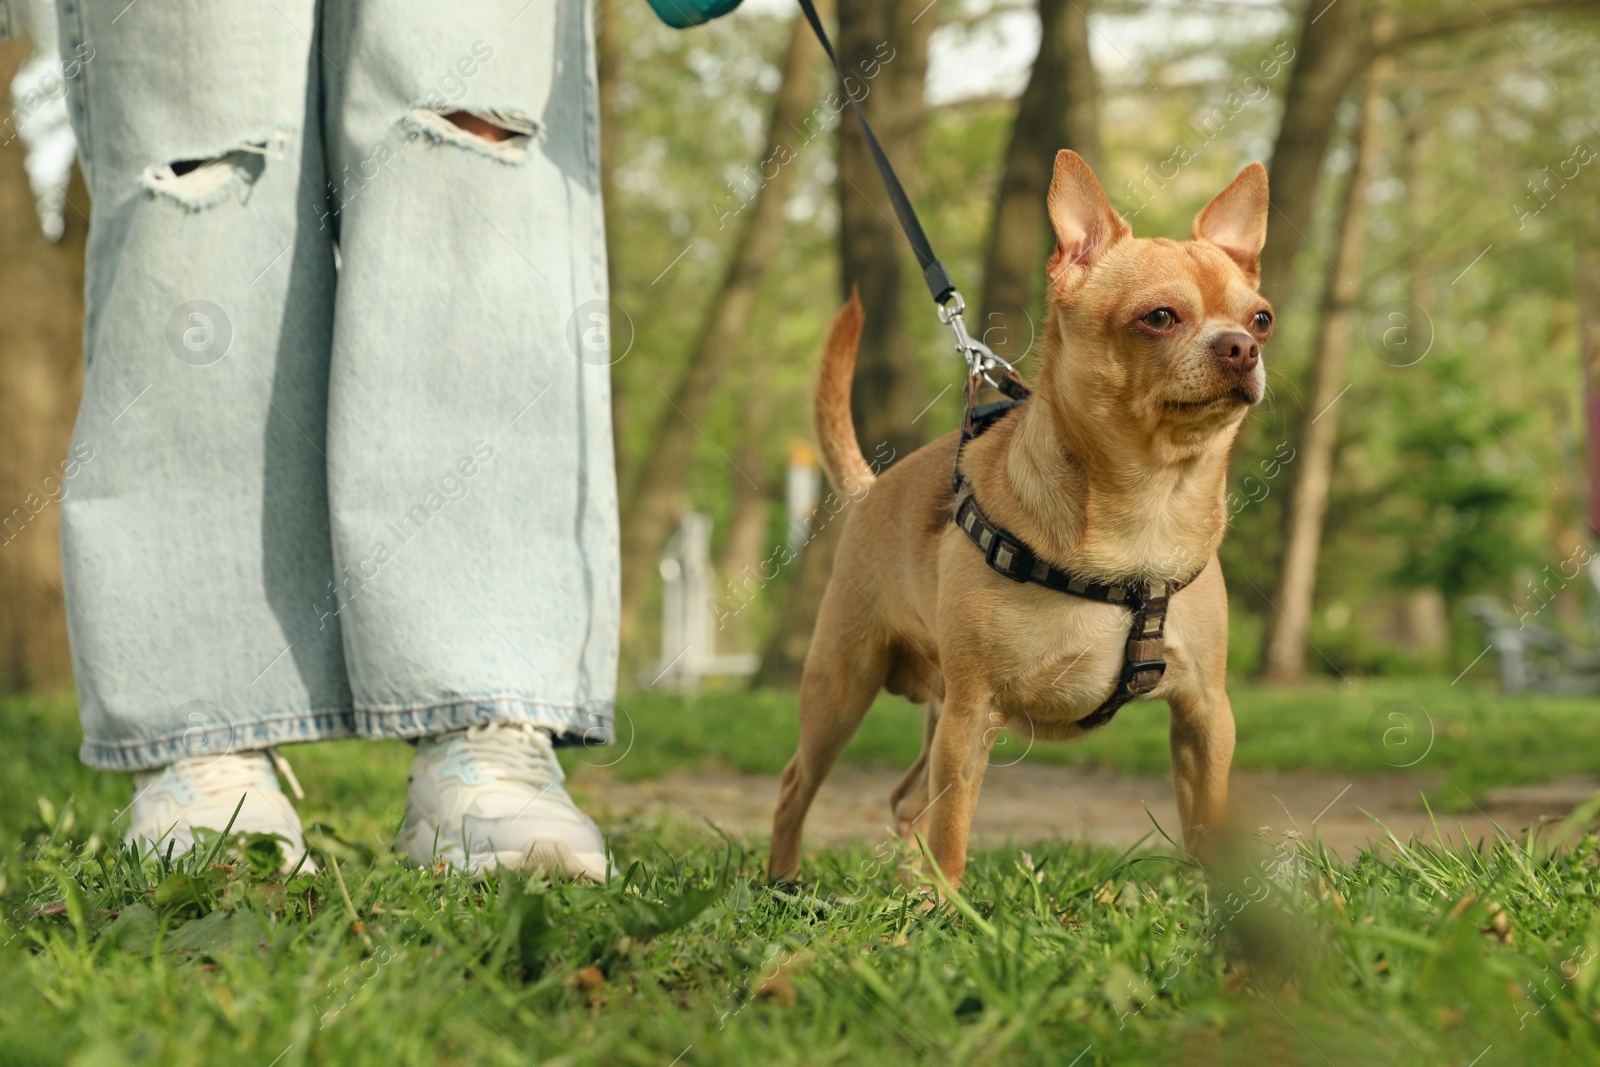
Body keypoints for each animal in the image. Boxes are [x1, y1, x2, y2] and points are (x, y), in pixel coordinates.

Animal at [768, 147, 1267, 883]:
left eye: (1261, 319)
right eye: (1159, 317)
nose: (1241, 347)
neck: (1148, 502)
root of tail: (870, 489)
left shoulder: (1205, 717)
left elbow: (1207, 827)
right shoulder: (973, 716)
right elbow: (953, 834)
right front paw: (948, 903)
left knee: (906, 800)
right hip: (841, 686)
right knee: (799, 787)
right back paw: (784, 883)